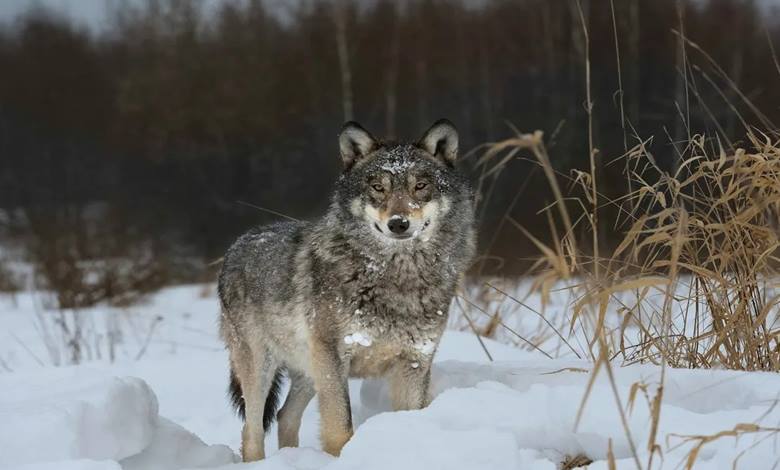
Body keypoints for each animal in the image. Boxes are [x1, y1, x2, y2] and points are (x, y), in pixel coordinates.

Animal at [216, 119, 478, 460]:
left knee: (284, 416)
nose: (398, 223)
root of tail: (237, 244)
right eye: (378, 187)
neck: (397, 277)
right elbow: (340, 428)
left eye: (420, 186)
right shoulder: (334, 358)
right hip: (264, 367)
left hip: (308, 370)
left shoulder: (415, 361)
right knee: (252, 430)